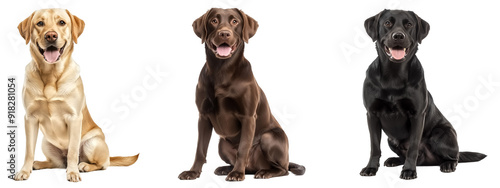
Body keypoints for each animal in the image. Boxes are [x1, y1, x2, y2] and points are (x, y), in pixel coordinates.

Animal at [15, 8, 139, 182]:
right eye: (39, 23)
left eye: (62, 22)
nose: (51, 35)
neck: (51, 76)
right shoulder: (30, 118)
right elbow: (28, 150)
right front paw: (24, 171)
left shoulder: (74, 118)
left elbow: (73, 152)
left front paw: (73, 173)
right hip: (46, 143)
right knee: (57, 163)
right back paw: (38, 163)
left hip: (92, 142)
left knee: (101, 164)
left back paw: (84, 166)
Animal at [178, 8, 306, 181]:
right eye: (214, 21)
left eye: (235, 21)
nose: (224, 33)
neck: (222, 70)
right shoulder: (203, 116)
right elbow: (200, 149)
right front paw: (193, 172)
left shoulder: (248, 117)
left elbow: (243, 148)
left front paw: (237, 173)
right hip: (222, 144)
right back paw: (225, 169)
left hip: (269, 138)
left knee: (283, 169)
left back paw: (264, 172)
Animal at [362, 9, 486, 180]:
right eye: (387, 23)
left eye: (409, 24)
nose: (398, 36)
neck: (394, 75)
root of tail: (429, 161)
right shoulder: (371, 115)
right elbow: (374, 147)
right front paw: (371, 168)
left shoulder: (417, 115)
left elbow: (413, 147)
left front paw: (409, 171)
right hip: (391, 140)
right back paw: (394, 160)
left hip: (441, 134)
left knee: (455, 157)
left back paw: (447, 165)